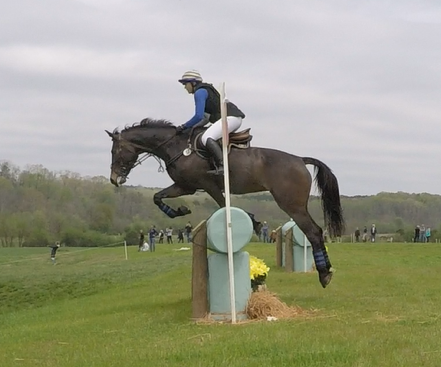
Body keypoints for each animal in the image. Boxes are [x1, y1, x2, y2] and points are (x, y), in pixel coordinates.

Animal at [105, 119, 344, 288]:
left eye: (116, 151)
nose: (114, 179)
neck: (175, 147)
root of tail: (300, 160)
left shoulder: (207, 185)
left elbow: (223, 204)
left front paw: (253, 222)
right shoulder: (185, 186)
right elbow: (157, 197)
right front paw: (181, 210)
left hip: (291, 204)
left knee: (313, 232)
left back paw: (324, 274)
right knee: (315, 231)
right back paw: (326, 271)